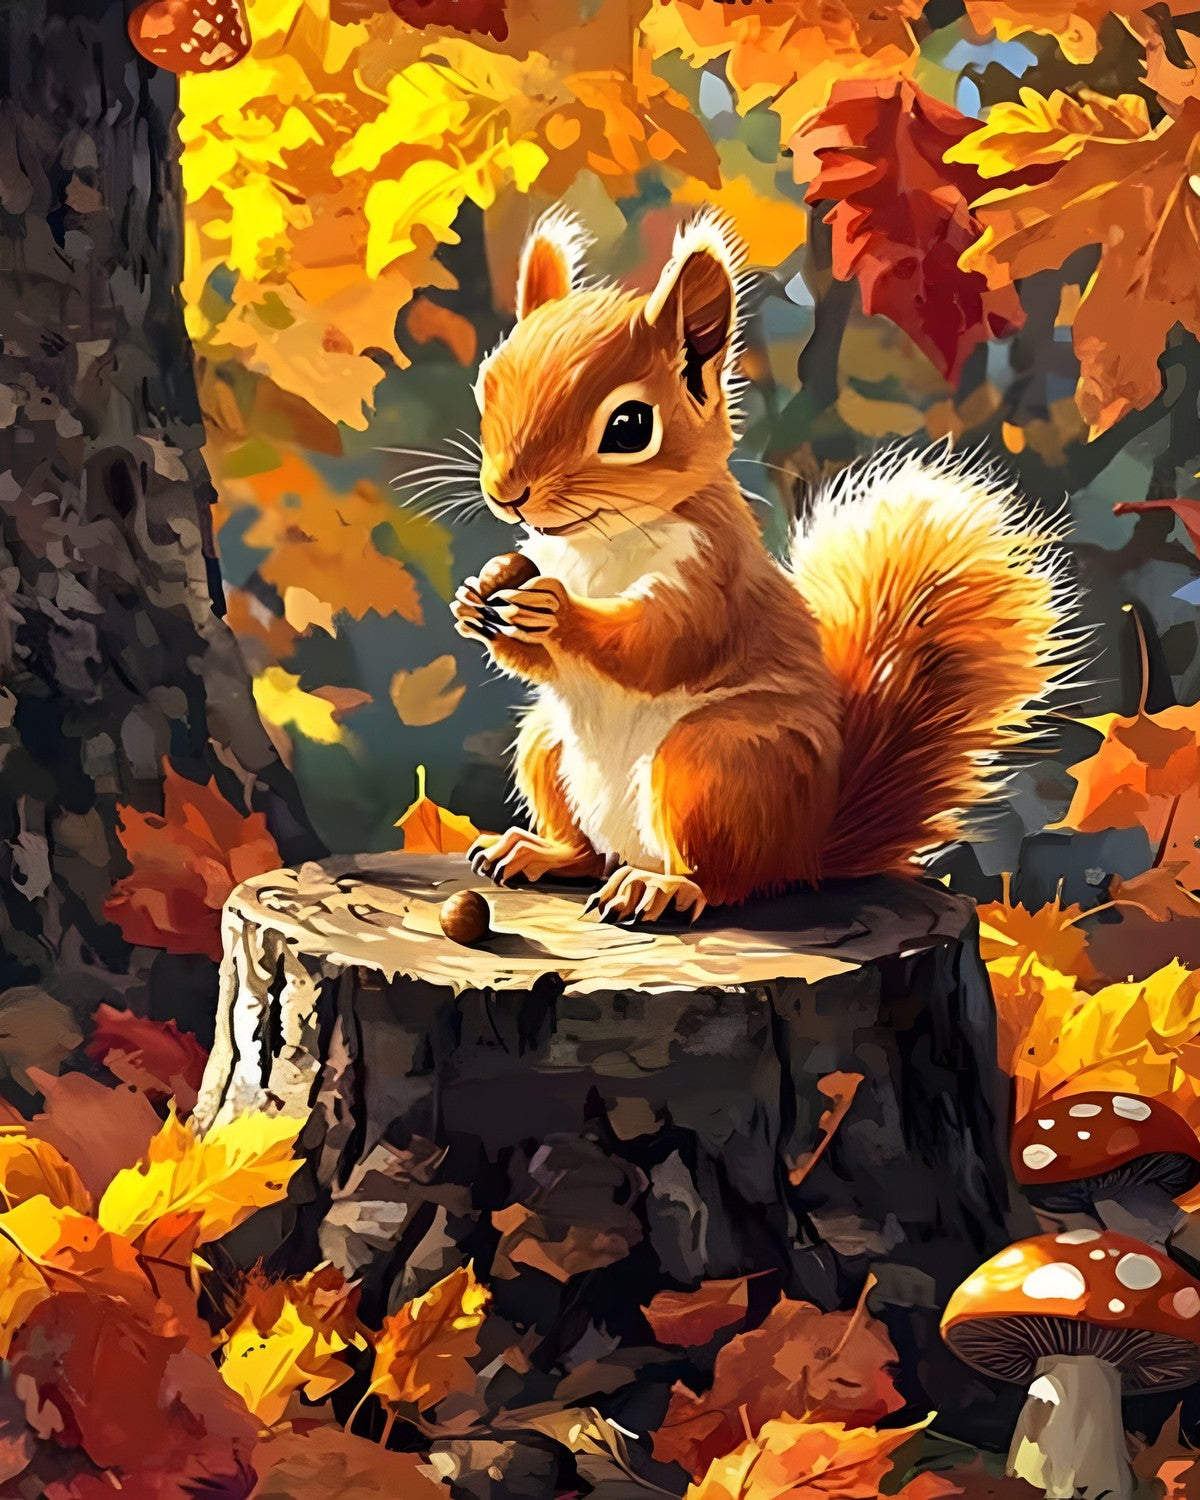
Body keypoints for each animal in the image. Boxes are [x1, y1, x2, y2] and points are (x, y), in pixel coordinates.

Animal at [451, 207, 1070, 925]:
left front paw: (557, 611)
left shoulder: (713, 576)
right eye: (486, 387)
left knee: (721, 879)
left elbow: (662, 645)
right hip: (547, 742)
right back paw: (538, 852)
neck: (595, 543)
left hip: (717, 765)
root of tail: (808, 852)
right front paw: (477, 597)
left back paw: (660, 888)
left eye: (630, 426)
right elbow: (540, 660)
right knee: (587, 849)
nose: (506, 492)